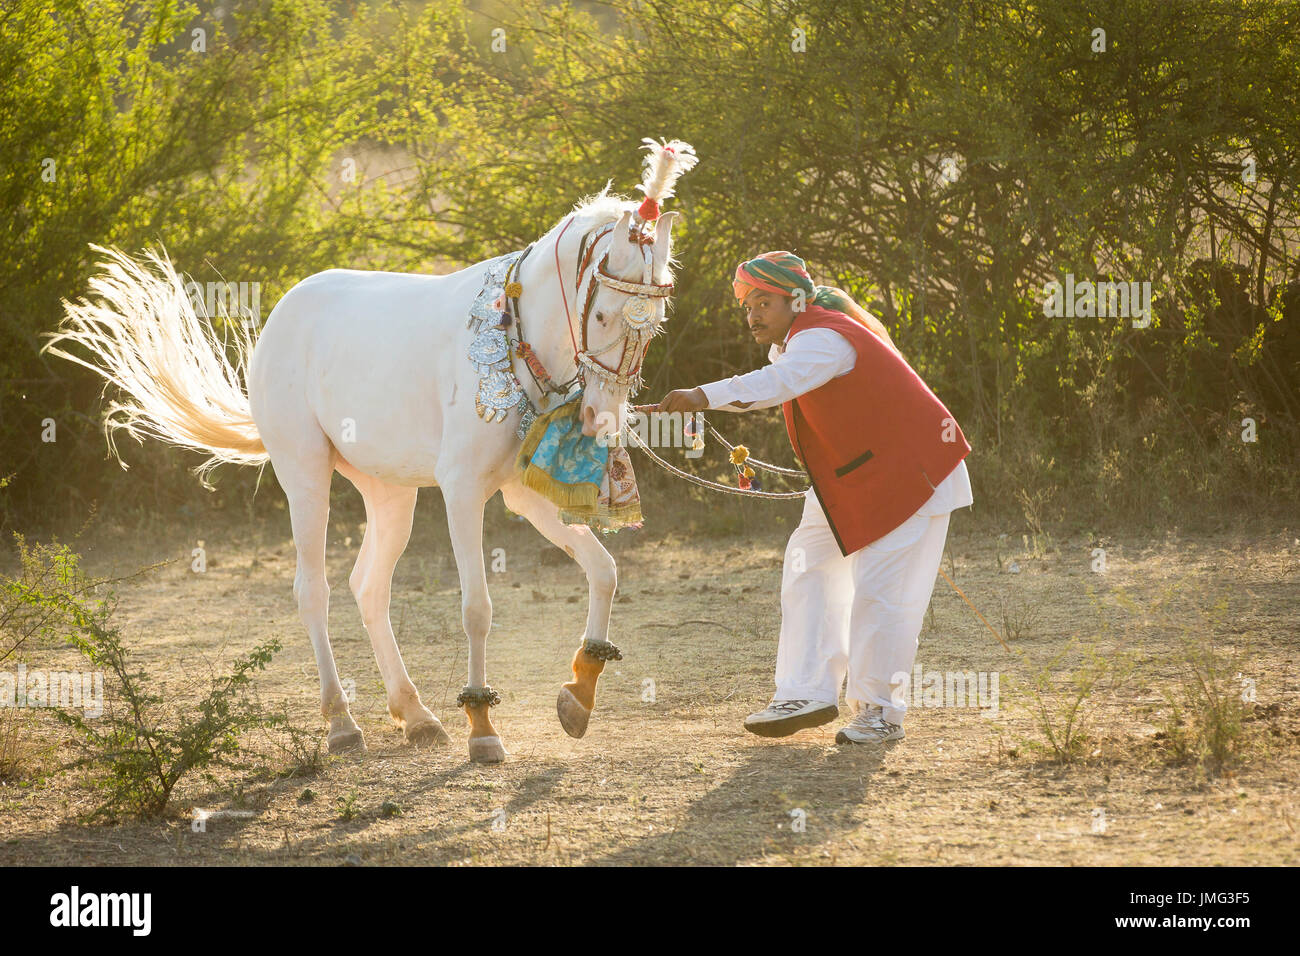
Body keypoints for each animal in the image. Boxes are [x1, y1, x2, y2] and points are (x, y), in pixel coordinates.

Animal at [45, 138, 697, 763]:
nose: (601, 420)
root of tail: (284, 311)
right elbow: (477, 608)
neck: (512, 332)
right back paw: (341, 723)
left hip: (390, 493)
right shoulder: (463, 493)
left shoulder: (520, 494)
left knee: (369, 588)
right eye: (604, 314)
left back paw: (415, 713)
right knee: (314, 592)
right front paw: (482, 726)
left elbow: (604, 570)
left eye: (655, 324)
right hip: (305, 476)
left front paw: (579, 693)